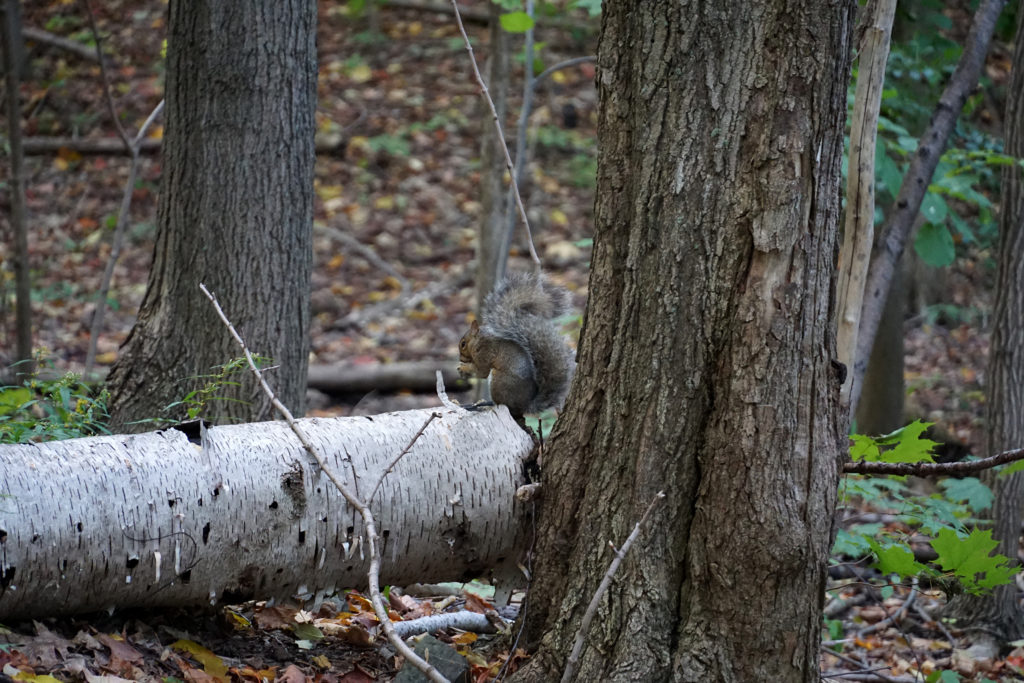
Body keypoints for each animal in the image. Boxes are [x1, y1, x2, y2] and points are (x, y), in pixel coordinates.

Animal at [458, 270, 577, 419]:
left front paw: (463, 368)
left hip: (499, 381)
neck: (478, 341)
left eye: (463, 344)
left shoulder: (485, 353)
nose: (460, 358)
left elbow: (482, 372)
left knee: (506, 406)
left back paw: (489, 405)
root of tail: (526, 406)